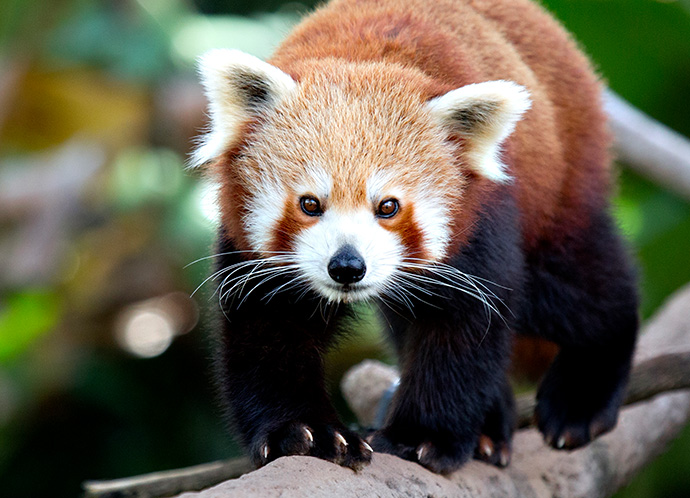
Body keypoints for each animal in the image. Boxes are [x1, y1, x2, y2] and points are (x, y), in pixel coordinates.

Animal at [192, 0, 636, 474]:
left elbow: (461, 329)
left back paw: (582, 398)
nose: (347, 266)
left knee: (581, 289)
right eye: (310, 204)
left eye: (388, 207)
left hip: (563, 180)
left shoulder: (480, 221)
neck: (362, 59)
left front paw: (421, 437)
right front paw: (305, 432)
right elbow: (270, 329)